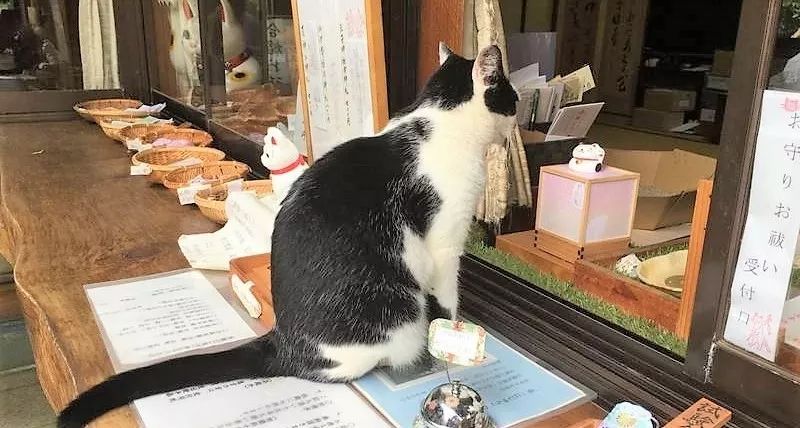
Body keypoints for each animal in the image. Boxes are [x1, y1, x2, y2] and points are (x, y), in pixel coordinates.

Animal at [56, 43, 520, 428]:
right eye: (512, 96)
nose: (516, 118)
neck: (439, 123)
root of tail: (282, 341)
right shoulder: (444, 245)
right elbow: (447, 302)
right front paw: (452, 336)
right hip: (399, 314)